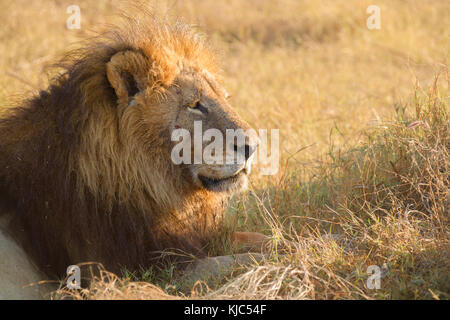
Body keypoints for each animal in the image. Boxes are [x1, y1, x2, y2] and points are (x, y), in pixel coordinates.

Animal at [0, 11, 268, 298]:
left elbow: (258, 239)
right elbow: (238, 261)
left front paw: (284, 240)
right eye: (195, 105)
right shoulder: (149, 269)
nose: (253, 147)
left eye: (225, 97)